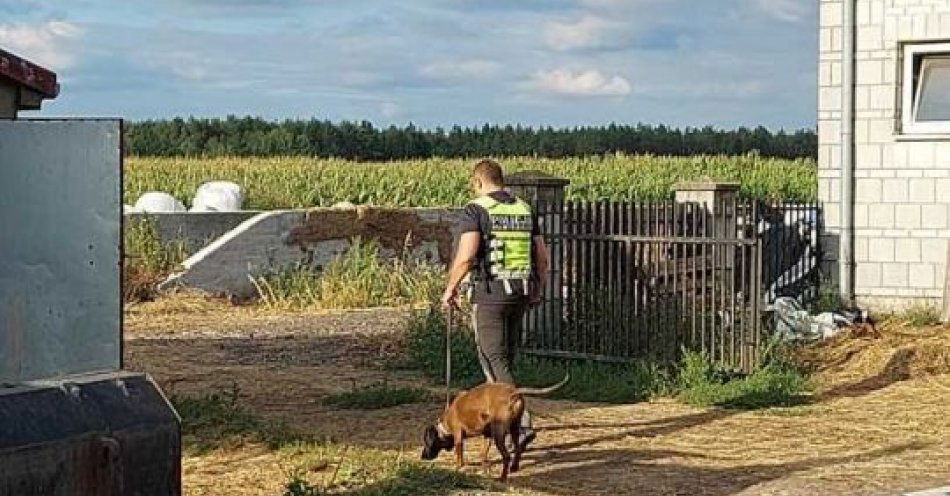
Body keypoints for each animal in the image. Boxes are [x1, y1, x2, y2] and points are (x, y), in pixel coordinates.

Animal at [420, 376, 568, 480]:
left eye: (426, 442)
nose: (422, 457)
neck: (445, 424)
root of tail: (513, 393)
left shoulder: (458, 436)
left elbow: (460, 457)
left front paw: (458, 468)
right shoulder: (487, 435)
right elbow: (483, 454)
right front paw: (485, 470)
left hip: (499, 434)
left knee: (506, 456)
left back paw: (502, 478)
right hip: (514, 428)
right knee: (518, 448)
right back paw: (514, 467)